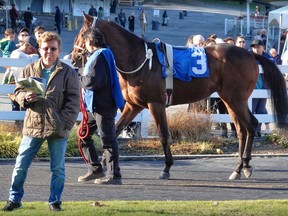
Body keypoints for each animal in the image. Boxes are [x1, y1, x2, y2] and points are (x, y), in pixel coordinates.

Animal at [71, 13, 288, 181]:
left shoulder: (155, 104)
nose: (73, 58)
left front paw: (166, 168)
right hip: (229, 100)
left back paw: (246, 165)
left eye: (81, 34)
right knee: (242, 130)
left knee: (251, 125)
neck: (141, 60)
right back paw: (238, 168)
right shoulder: (133, 105)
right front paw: (101, 166)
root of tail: (250, 54)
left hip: (236, 99)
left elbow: (164, 135)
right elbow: (114, 131)